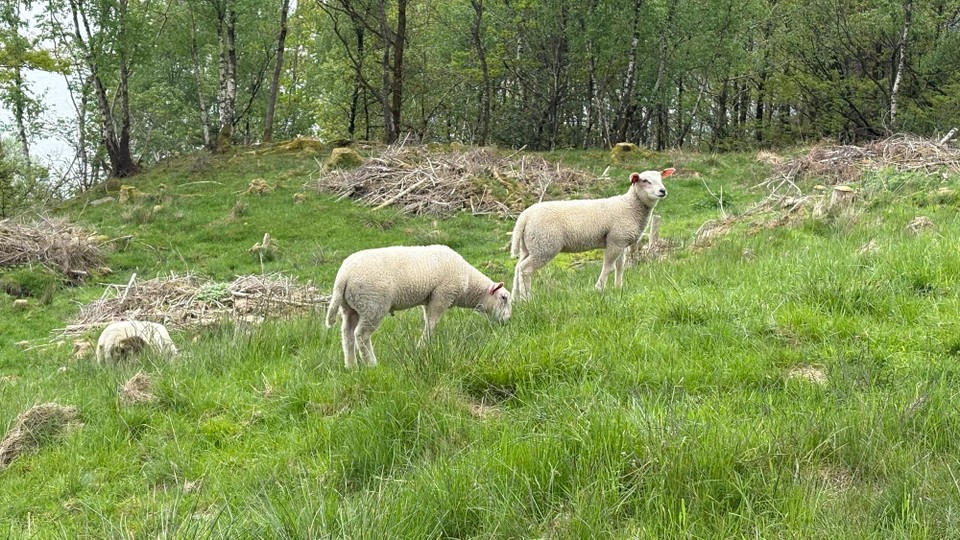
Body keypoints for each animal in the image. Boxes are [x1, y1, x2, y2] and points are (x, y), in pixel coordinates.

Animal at [325, 244, 512, 368]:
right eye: (503, 298)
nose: (508, 321)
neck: (469, 283)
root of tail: (343, 277)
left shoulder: (429, 299)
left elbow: (427, 320)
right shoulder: (442, 295)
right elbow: (431, 323)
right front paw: (421, 347)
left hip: (351, 307)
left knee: (347, 334)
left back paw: (351, 366)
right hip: (373, 305)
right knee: (361, 335)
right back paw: (371, 364)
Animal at [511, 168, 674, 299]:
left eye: (661, 178)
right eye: (645, 180)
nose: (663, 191)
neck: (630, 206)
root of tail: (524, 216)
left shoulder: (621, 241)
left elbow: (620, 266)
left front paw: (618, 288)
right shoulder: (615, 241)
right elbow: (608, 267)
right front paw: (599, 289)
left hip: (530, 245)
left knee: (518, 268)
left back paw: (515, 299)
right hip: (545, 245)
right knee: (525, 269)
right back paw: (527, 298)